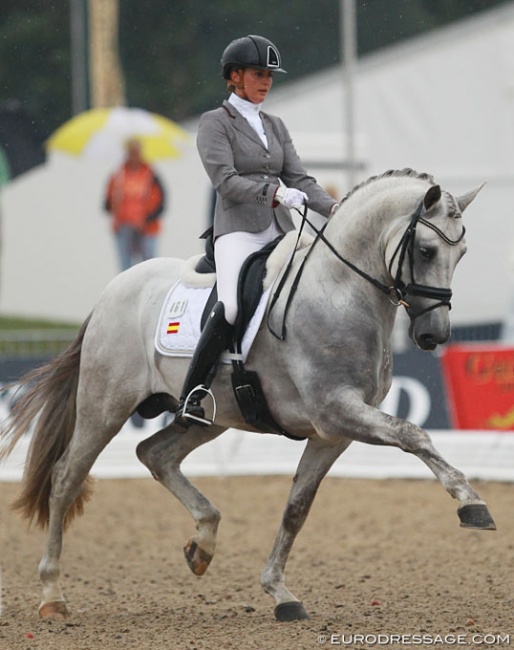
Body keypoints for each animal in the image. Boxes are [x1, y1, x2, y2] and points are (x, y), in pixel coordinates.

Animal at [2, 168, 494, 624]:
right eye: (426, 250)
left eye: (462, 254)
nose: (433, 336)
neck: (340, 291)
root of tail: (112, 290)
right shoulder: (336, 410)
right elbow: (414, 435)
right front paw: (471, 504)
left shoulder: (333, 433)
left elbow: (297, 508)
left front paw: (279, 592)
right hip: (105, 405)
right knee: (67, 478)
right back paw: (52, 595)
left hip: (210, 415)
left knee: (154, 454)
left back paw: (202, 545)